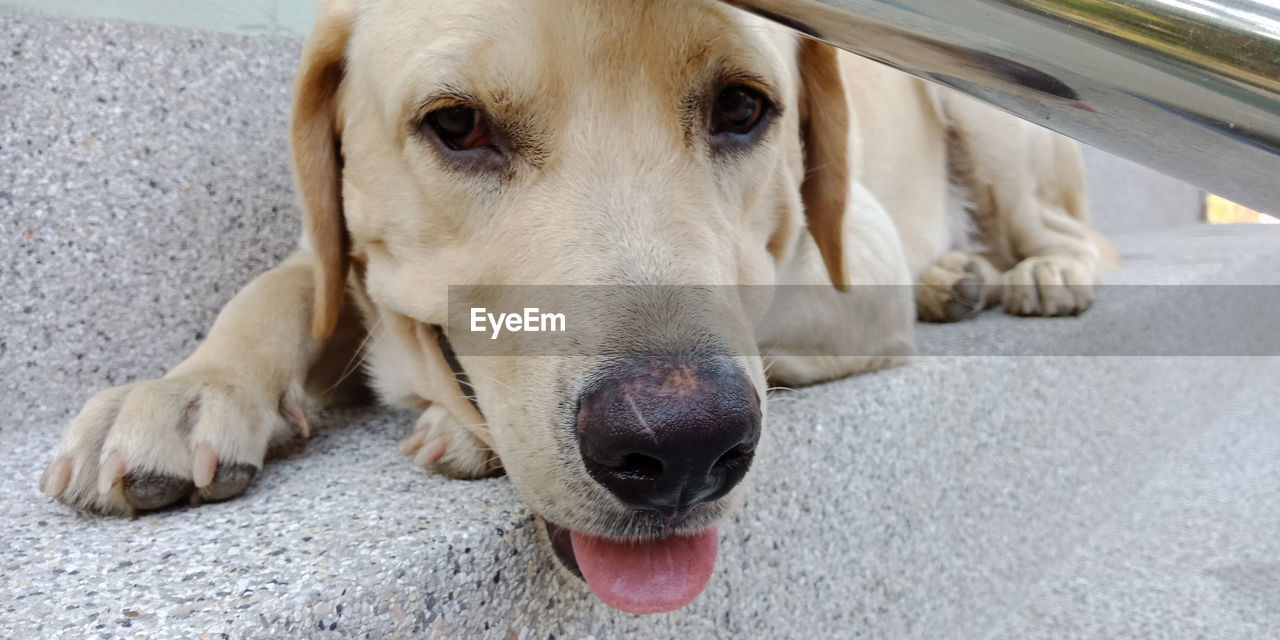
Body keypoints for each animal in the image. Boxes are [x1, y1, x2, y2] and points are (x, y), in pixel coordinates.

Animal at [35, 0, 1105, 614]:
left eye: (744, 108)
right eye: (456, 125)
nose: (679, 446)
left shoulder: (854, 253)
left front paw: (456, 430)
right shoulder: (328, 255)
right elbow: (285, 285)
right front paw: (182, 391)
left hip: (997, 114)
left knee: (1073, 231)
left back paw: (1035, 273)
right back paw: (956, 275)